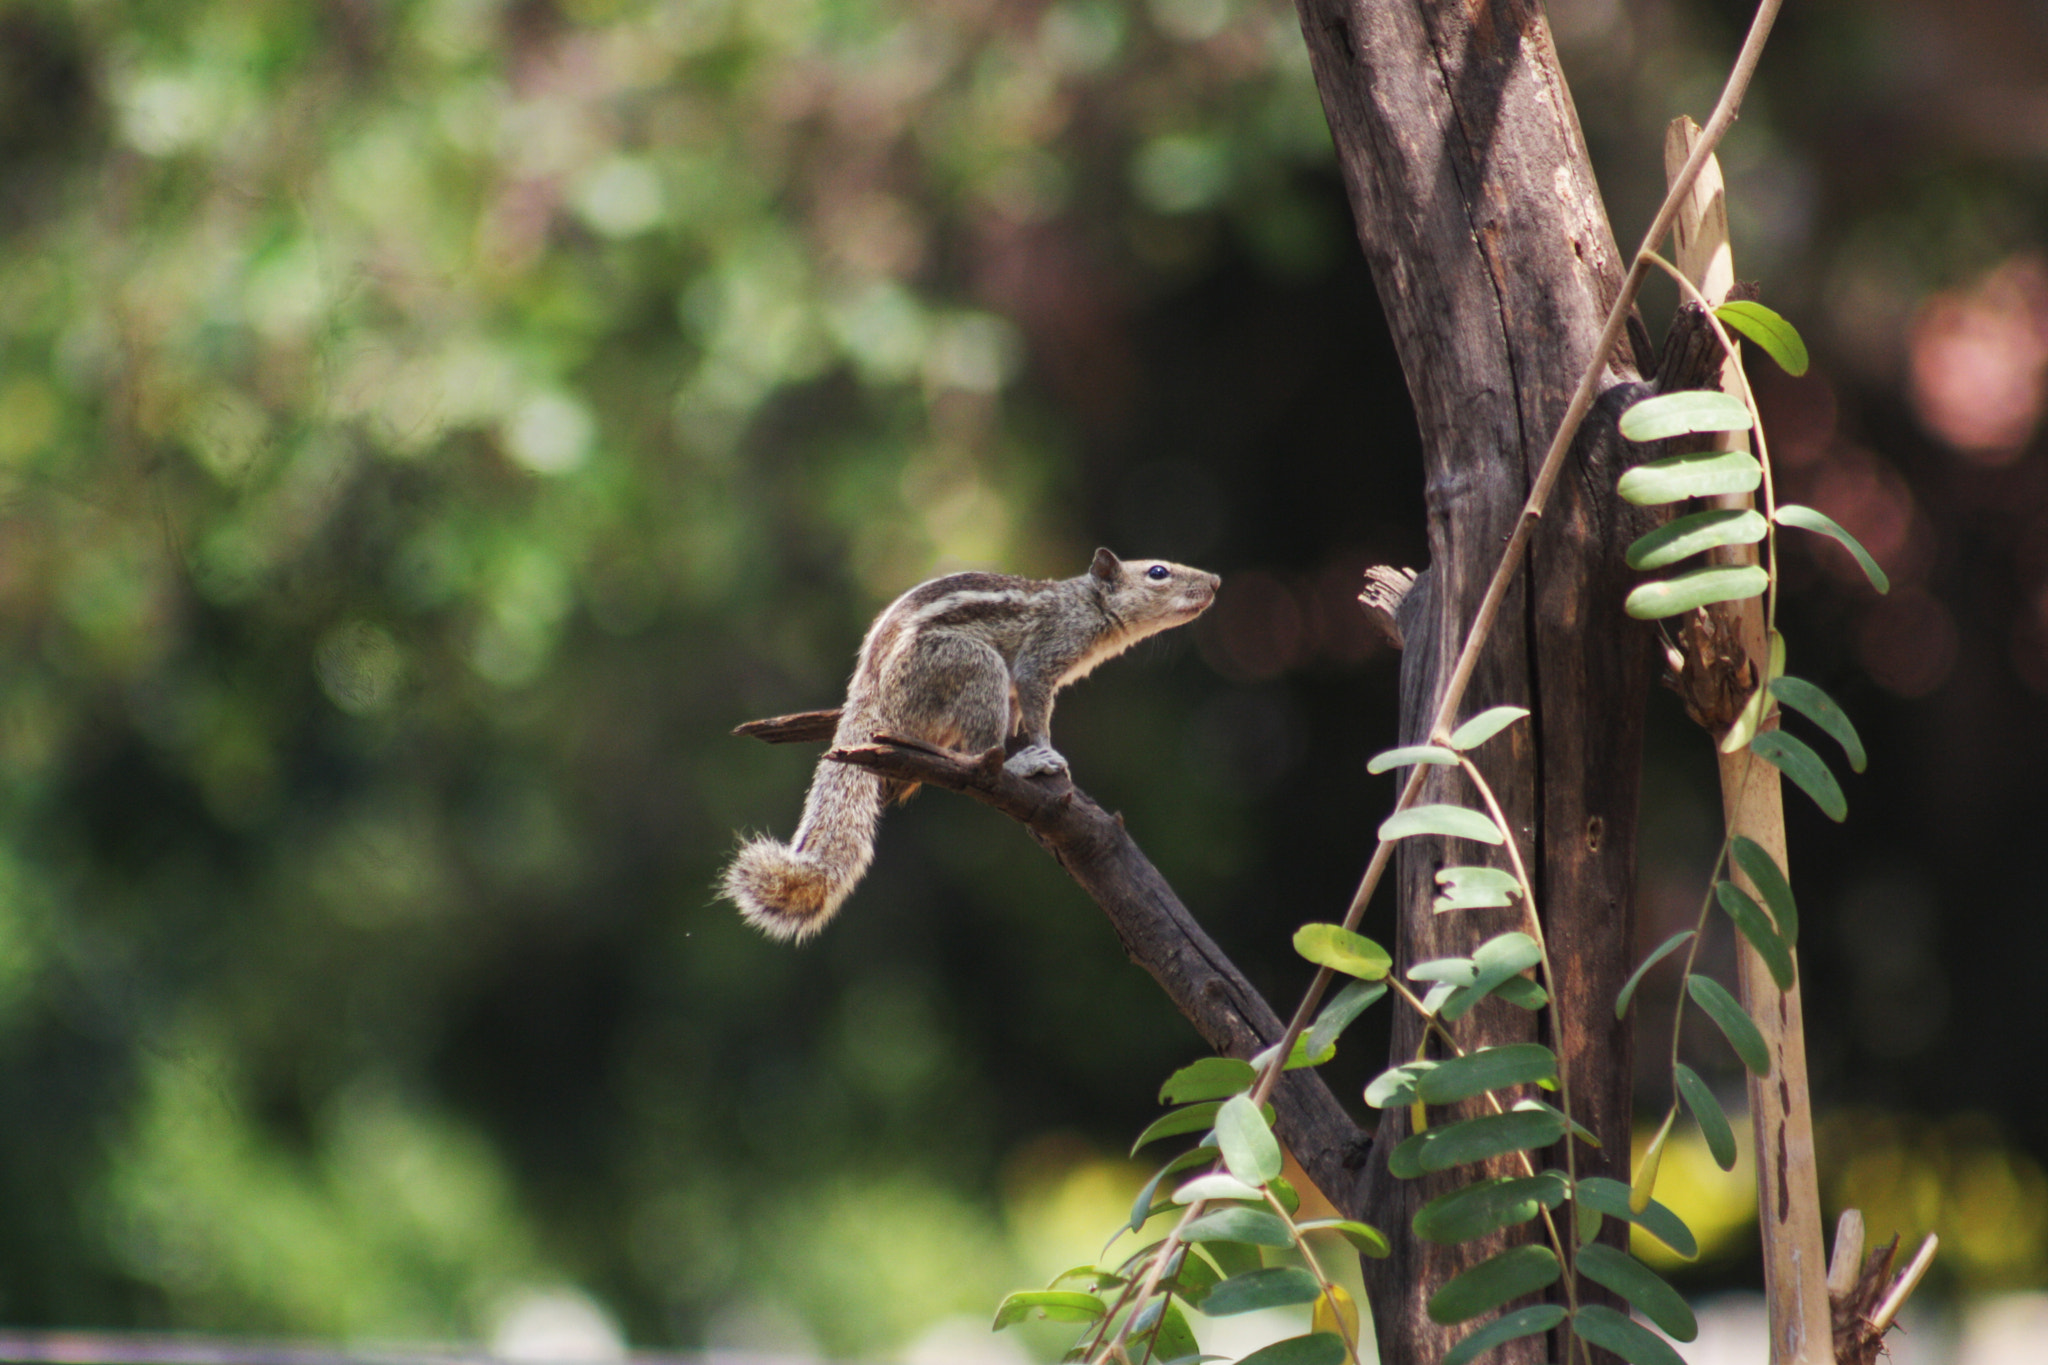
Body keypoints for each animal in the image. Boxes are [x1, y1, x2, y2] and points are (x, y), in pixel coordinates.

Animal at [722, 548, 1221, 942]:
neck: (1087, 603)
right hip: (974, 665)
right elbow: (1036, 704)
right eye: (1158, 572)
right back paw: (1017, 766)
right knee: (976, 750)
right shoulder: (1042, 658)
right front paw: (1045, 750)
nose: (1216, 581)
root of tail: (869, 687)